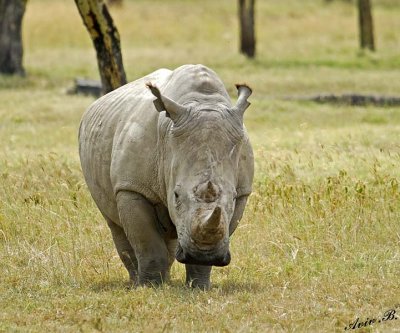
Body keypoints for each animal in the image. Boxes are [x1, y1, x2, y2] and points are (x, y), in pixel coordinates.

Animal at [79, 64, 253, 288]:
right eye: (176, 195)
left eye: (232, 197)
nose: (204, 254)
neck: (202, 101)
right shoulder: (132, 187)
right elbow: (147, 243)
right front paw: (149, 287)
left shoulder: (243, 191)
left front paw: (199, 287)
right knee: (115, 224)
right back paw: (137, 282)